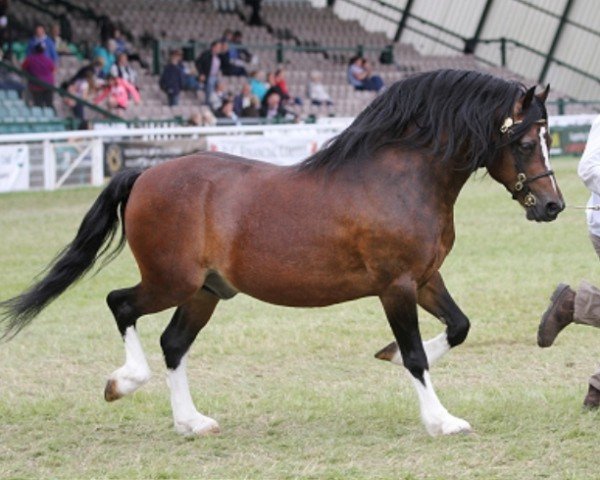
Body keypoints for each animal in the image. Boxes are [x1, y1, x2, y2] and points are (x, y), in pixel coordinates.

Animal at [0, 69, 564, 436]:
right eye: (524, 141)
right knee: (120, 304)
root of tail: (146, 173)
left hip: (205, 291)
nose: (553, 205)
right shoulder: (396, 286)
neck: (400, 177)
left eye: (548, 137)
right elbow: (416, 355)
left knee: (173, 343)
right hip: (170, 281)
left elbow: (458, 327)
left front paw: (386, 356)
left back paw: (191, 422)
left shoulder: (425, 278)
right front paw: (441, 420)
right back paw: (123, 383)